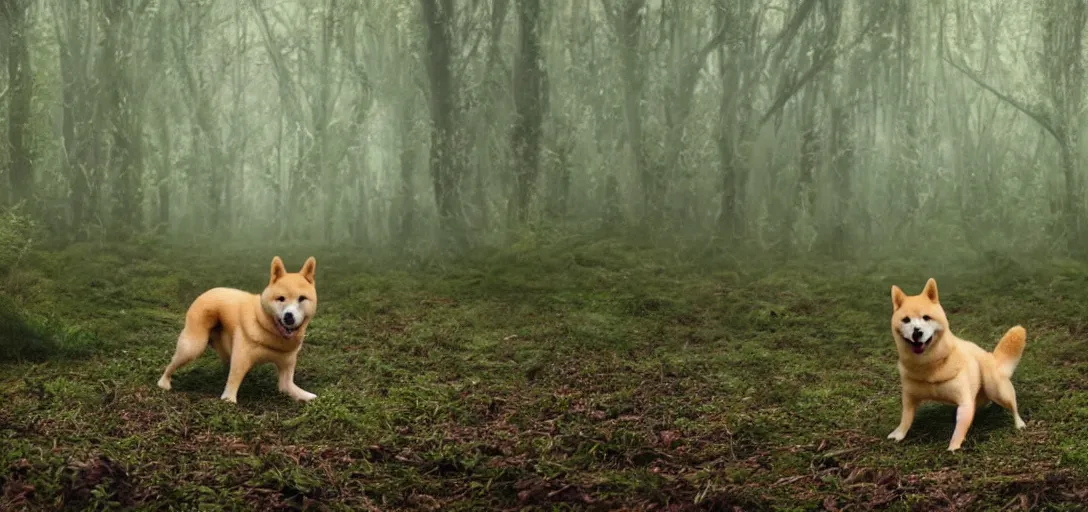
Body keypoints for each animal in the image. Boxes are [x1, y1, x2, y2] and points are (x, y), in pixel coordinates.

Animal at [157, 256, 317, 404]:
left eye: (302, 298)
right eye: (281, 298)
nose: (288, 317)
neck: (266, 326)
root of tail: (210, 290)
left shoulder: (286, 372)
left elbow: (289, 387)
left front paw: (308, 396)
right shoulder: (241, 358)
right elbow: (234, 380)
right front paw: (229, 400)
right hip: (193, 347)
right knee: (171, 365)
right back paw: (164, 383)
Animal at [887, 278, 1022, 450]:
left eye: (926, 318)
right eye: (906, 320)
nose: (917, 332)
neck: (929, 366)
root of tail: (991, 357)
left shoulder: (964, 404)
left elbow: (959, 430)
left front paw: (953, 447)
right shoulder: (909, 399)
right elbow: (905, 419)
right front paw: (898, 434)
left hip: (998, 390)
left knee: (1013, 406)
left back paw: (1019, 424)